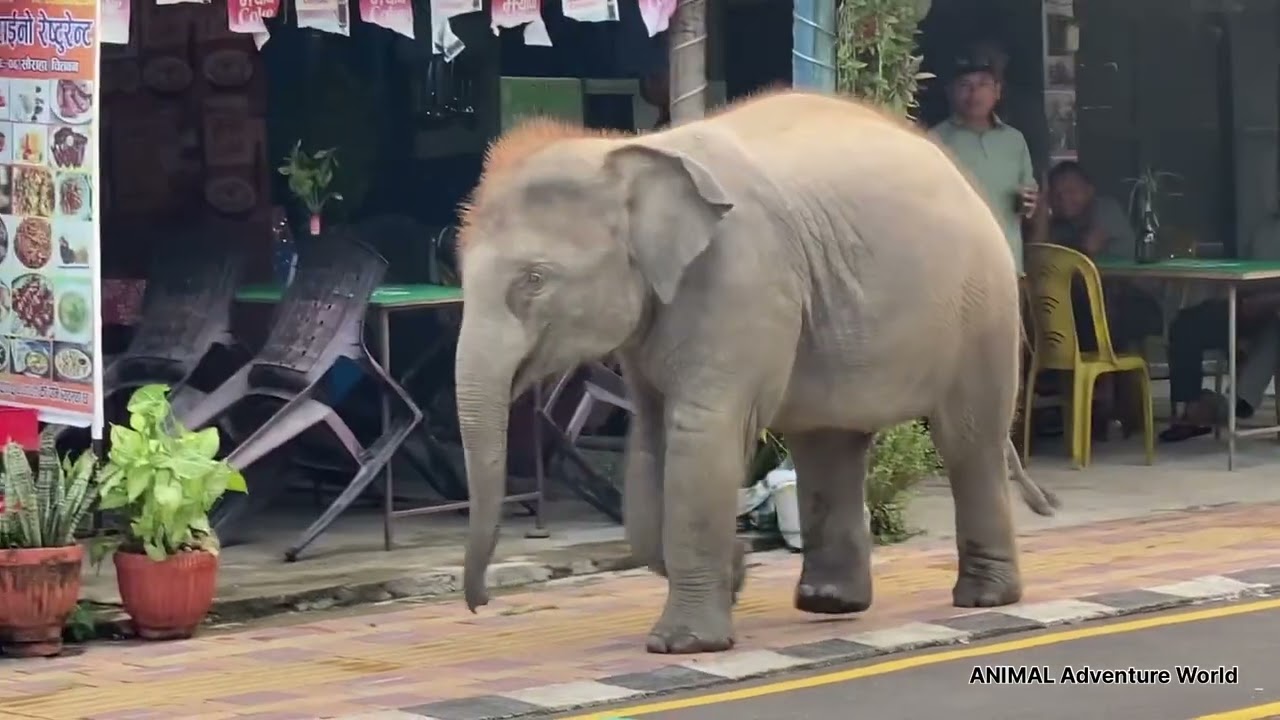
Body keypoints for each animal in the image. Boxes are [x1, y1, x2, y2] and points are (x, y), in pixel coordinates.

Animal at [452, 89, 1060, 655]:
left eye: (533, 280)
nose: (480, 605)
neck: (629, 151)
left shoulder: (740, 277)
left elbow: (702, 435)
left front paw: (684, 643)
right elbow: (649, 443)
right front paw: (735, 573)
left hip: (982, 305)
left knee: (967, 439)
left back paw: (983, 598)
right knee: (828, 443)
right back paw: (829, 603)